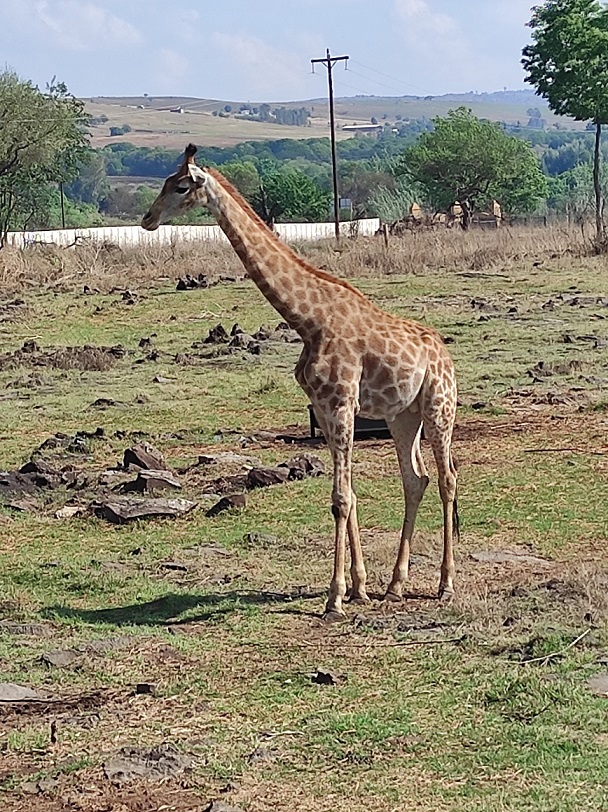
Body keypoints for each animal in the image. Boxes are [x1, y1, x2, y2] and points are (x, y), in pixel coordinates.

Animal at [141, 144, 456, 620]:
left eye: (179, 186)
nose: (148, 219)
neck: (307, 321)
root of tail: (447, 355)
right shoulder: (325, 409)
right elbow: (350, 495)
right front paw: (360, 588)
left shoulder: (341, 404)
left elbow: (341, 498)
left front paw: (335, 598)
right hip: (404, 417)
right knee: (414, 480)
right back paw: (396, 586)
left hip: (440, 409)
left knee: (447, 479)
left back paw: (445, 584)